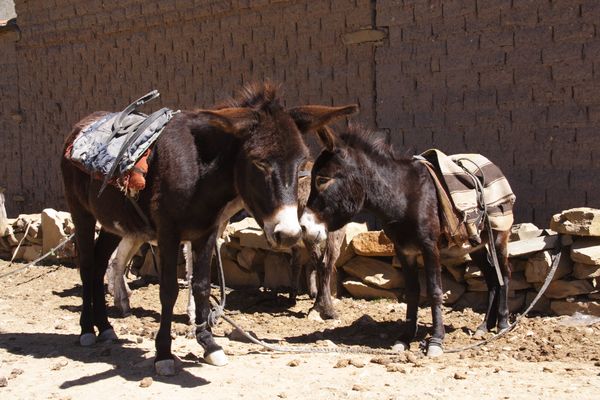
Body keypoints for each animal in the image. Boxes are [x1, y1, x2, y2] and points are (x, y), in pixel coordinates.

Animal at [61, 82, 358, 375]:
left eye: (300, 163)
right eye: (259, 162)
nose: (289, 234)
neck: (199, 173)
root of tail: (82, 124)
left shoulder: (205, 233)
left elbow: (202, 285)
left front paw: (209, 344)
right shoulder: (169, 235)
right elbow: (169, 290)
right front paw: (163, 354)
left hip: (114, 222)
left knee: (100, 264)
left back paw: (105, 328)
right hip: (81, 213)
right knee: (87, 266)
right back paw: (87, 330)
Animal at [299, 125, 513, 357]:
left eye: (322, 179)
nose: (303, 227)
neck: (404, 197)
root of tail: (494, 166)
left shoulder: (430, 248)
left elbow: (435, 291)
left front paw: (436, 340)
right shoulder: (404, 251)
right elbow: (412, 292)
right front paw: (405, 338)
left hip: (499, 236)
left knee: (504, 275)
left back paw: (502, 324)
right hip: (476, 244)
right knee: (492, 278)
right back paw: (485, 326)